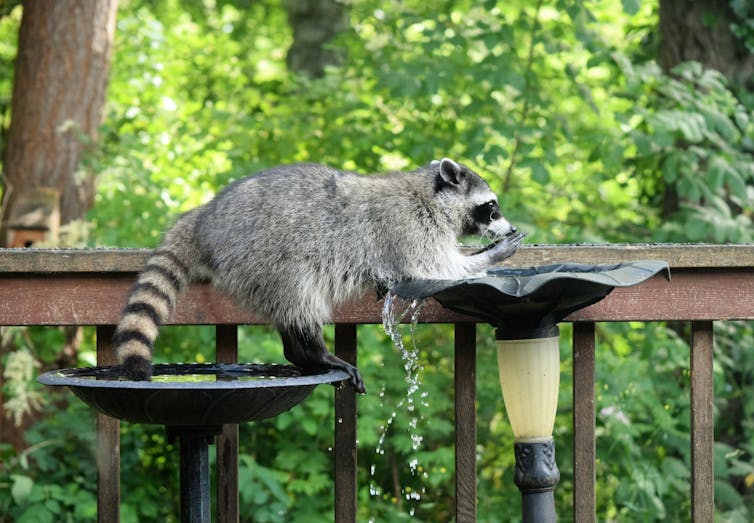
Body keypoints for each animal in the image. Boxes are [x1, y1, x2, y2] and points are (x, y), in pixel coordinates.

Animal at [113, 158, 524, 393]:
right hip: (266, 254)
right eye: (491, 207)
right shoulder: (406, 227)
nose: (509, 226)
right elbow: (438, 268)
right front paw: (488, 254)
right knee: (300, 298)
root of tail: (207, 217)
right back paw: (313, 351)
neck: (429, 195)